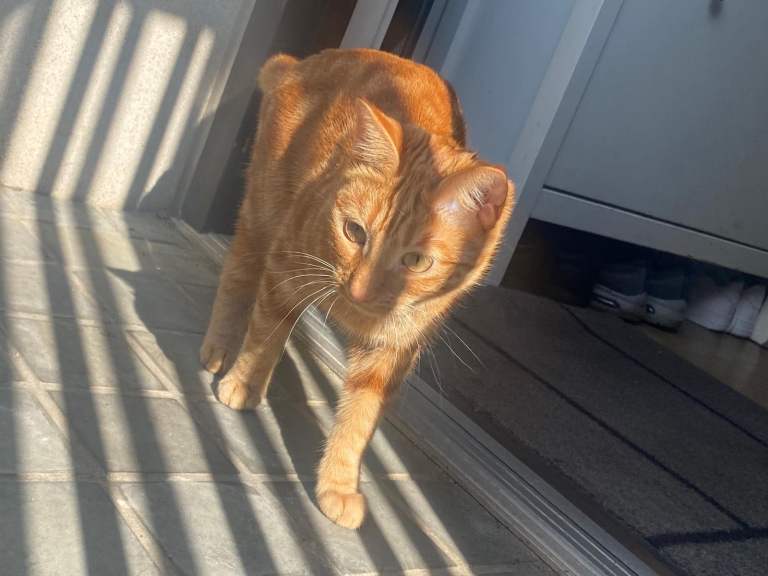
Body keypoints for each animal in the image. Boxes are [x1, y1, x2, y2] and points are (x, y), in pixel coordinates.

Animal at [200, 48, 515, 529]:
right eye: (354, 232)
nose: (361, 290)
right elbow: (265, 335)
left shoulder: (392, 351)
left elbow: (359, 419)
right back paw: (219, 348)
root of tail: (304, 62)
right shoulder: (285, 267)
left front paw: (338, 486)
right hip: (261, 212)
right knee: (239, 275)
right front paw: (245, 381)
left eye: (416, 261)